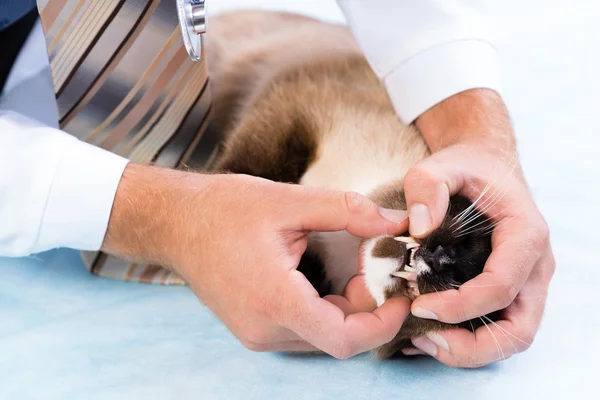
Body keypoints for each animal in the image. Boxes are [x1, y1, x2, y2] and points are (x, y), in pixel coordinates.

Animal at [204, 10, 500, 360]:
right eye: (465, 243)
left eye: (455, 277)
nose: (439, 256)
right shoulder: (295, 112)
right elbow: (242, 169)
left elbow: (312, 273)